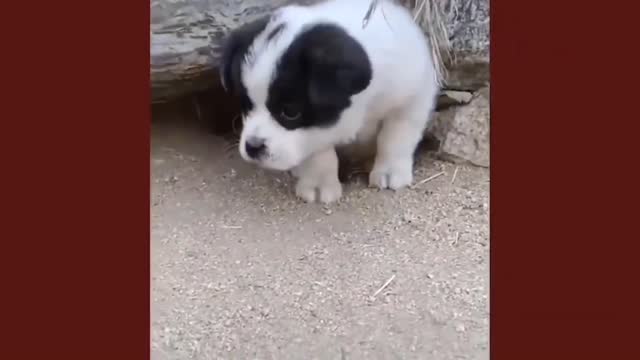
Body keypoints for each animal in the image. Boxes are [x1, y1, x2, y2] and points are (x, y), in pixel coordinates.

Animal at [221, 0, 440, 202]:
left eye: (290, 112)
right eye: (246, 105)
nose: (252, 147)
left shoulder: (413, 97)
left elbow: (395, 137)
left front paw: (390, 171)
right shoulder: (315, 133)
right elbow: (320, 155)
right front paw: (319, 184)